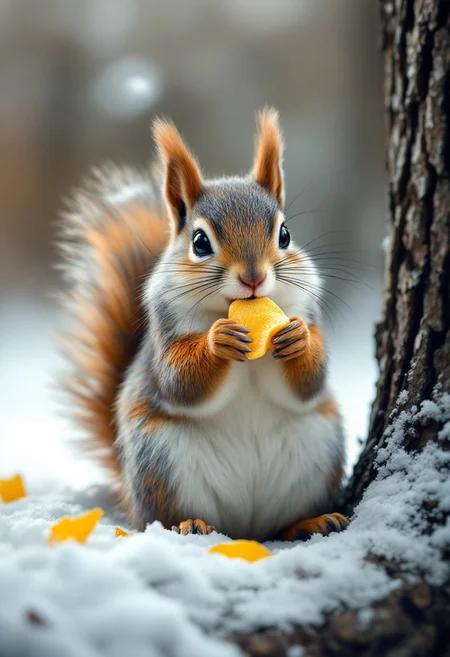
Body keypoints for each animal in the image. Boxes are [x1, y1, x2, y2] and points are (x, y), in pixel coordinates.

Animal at [59, 108, 348, 541]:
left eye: (285, 234)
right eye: (199, 242)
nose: (253, 278)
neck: (227, 309)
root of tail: (244, 529)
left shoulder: (306, 307)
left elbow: (310, 382)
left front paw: (298, 339)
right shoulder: (164, 332)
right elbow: (180, 381)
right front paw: (217, 342)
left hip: (318, 450)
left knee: (281, 523)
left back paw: (311, 521)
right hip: (161, 461)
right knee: (164, 516)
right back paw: (190, 523)